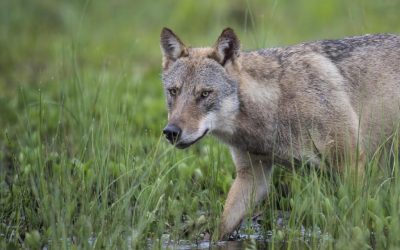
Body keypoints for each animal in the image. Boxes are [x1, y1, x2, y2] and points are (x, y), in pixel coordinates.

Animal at [159, 26, 400, 238]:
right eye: (173, 91)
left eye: (204, 94)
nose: (171, 132)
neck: (276, 103)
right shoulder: (252, 176)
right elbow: (223, 227)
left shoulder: (351, 162)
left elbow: (355, 223)